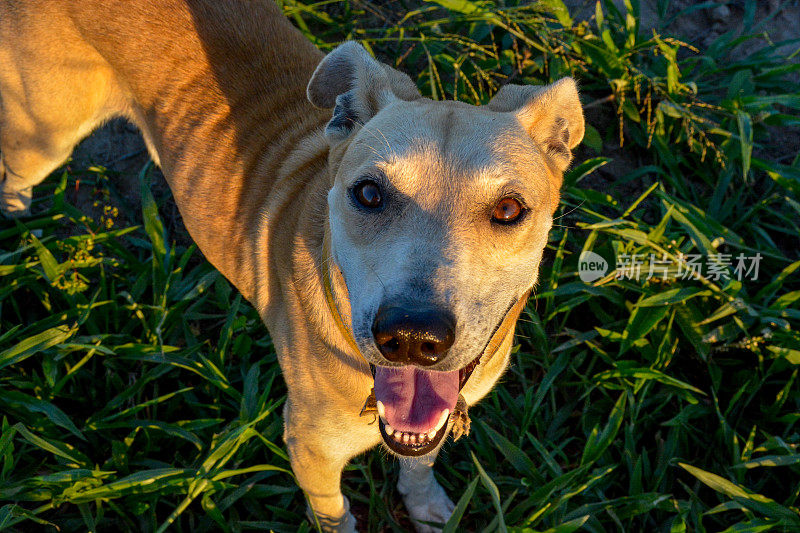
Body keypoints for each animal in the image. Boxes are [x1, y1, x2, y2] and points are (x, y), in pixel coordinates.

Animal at [1, 2, 588, 528]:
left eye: (508, 210)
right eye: (369, 194)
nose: (412, 337)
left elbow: (419, 465)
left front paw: (426, 507)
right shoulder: (310, 448)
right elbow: (333, 512)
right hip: (44, 135)